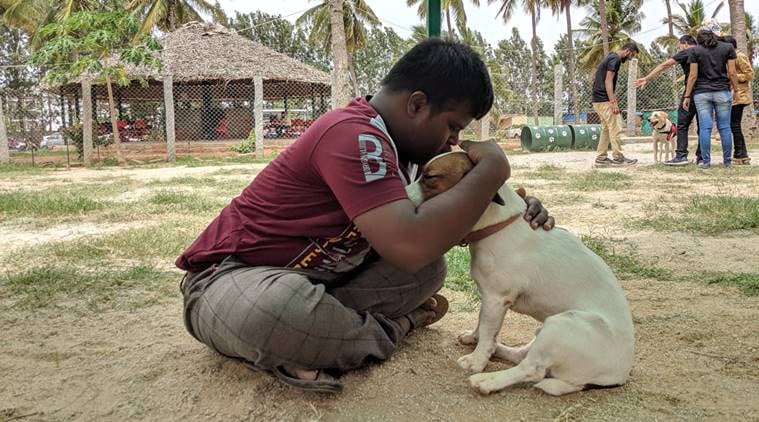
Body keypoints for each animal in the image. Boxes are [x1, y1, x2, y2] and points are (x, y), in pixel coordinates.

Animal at [410, 151, 636, 396]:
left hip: (560, 325)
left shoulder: (496, 299)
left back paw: (487, 380)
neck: (499, 225)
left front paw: (477, 361)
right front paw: (475, 339)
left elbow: (487, 332)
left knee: (532, 369)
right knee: (522, 356)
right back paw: (498, 351)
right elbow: (483, 325)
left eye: (429, 177)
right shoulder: (489, 299)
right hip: (543, 329)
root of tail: (616, 377)